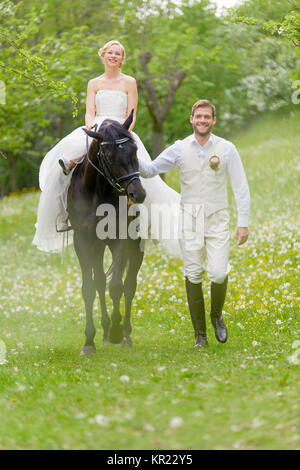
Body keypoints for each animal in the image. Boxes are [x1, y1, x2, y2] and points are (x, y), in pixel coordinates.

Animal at [68, 109, 148, 352]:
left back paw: (125, 334)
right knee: (100, 281)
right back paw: (103, 331)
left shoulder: (120, 238)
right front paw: (89, 341)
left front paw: (116, 332)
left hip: (134, 247)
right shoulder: (82, 241)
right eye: (109, 156)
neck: (97, 192)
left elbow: (116, 286)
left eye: (135, 150)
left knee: (129, 285)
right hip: (97, 246)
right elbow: (89, 288)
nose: (138, 194)